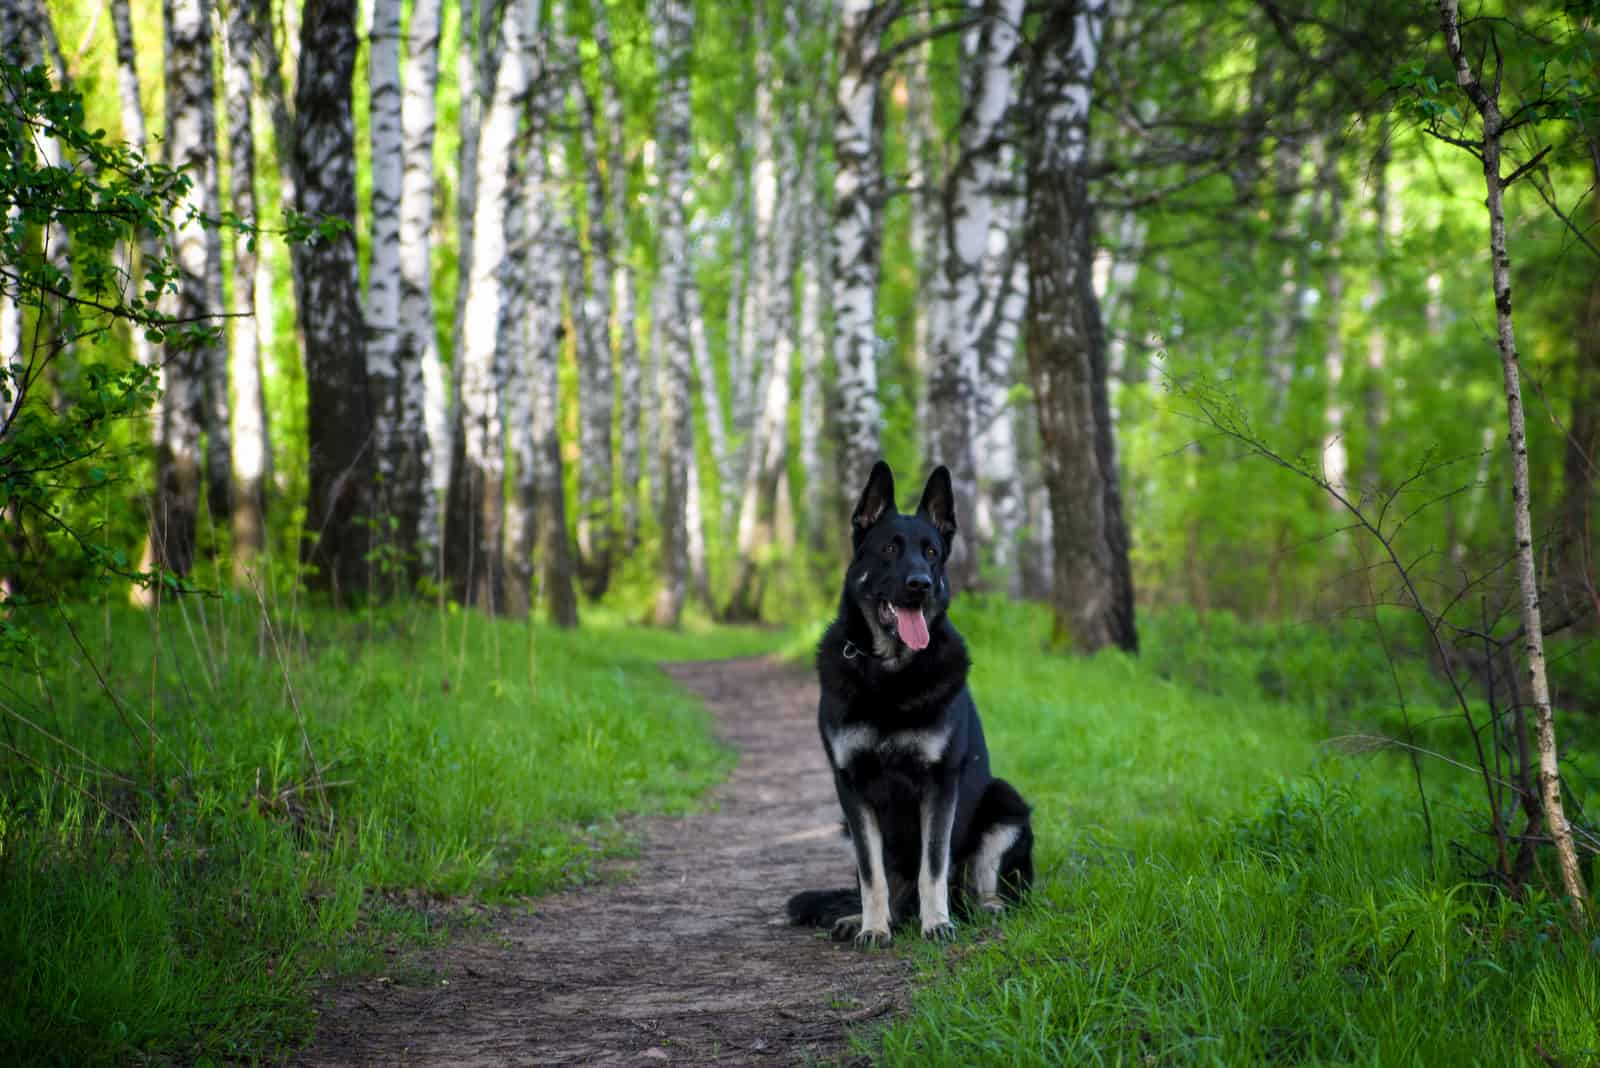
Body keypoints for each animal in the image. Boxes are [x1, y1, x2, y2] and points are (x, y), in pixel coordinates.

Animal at [790, 463, 1036, 946]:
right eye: (889, 549)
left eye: (932, 552)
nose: (920, 585)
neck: (889, 672)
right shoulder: (852, 787)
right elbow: (872, 874)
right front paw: (872, 927)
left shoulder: (940, 785)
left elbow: (933, 865)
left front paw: (936, 922)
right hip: (846, 826)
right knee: (888, 886)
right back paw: (864, 918)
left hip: (1005, 800)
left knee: (978, 881)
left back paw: (984, 908)